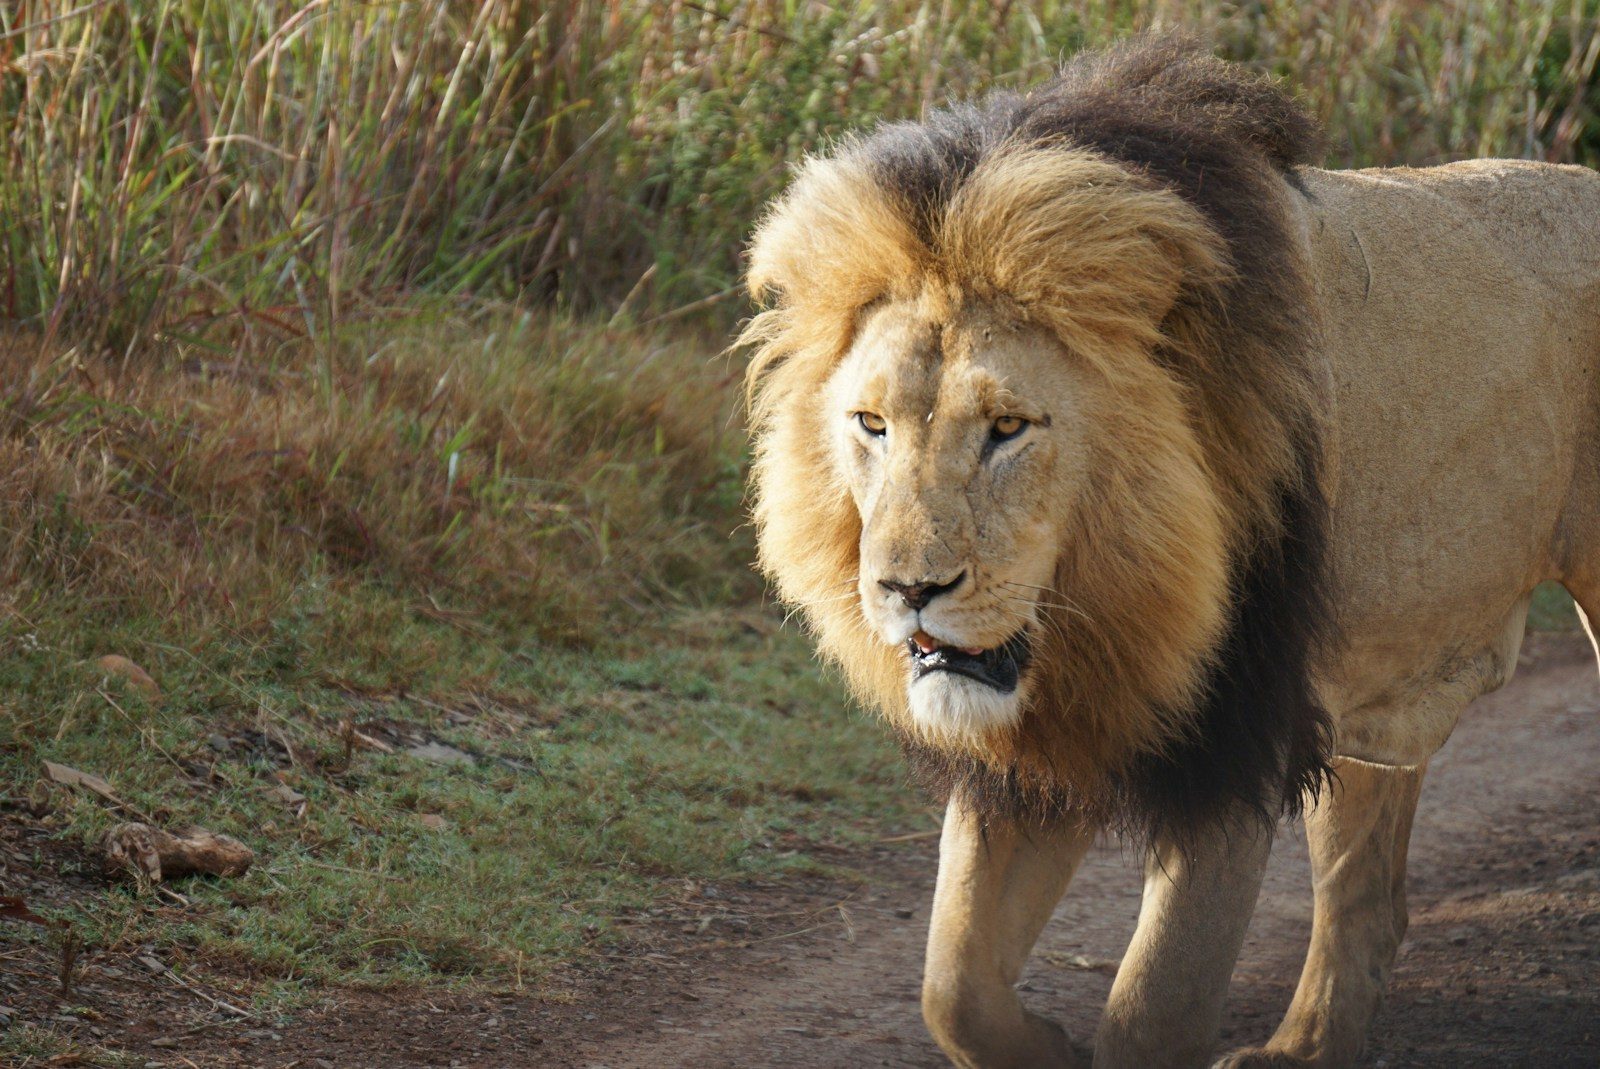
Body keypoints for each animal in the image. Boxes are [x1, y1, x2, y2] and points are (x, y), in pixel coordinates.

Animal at [739, 39, 1600, 1069]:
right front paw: (1048, 1047)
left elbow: (1154, 1007)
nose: (908, 589)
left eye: (1009, 427)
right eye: (870, 423)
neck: (1107, 601)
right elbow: (953, 988)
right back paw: (1300, 1050)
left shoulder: (1238, 732)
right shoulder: (1035, 750)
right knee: (1367, 898)